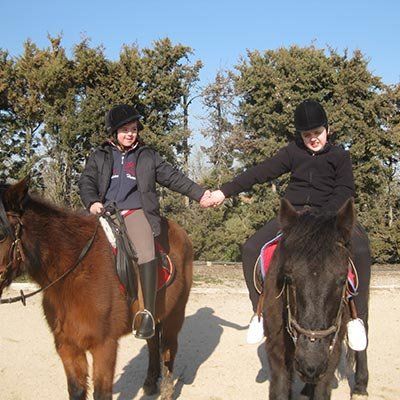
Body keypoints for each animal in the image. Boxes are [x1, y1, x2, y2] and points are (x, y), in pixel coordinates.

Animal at [0, 179, 194, 400]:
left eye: (1, 235)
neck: (73, 274)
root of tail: (180, 232)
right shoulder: (67, 346)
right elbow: (76, 390)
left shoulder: (104, 346)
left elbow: (101, 393)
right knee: (153, 345)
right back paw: (150, 383)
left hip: (175, 314)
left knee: (168, 349)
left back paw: (167, 390)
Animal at [262, 199, 368, 400]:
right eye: (288, 278)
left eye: (343, 279)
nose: (310, 364)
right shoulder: (277, 349)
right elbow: (280, 388)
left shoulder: (332, 351)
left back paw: (360, 387)